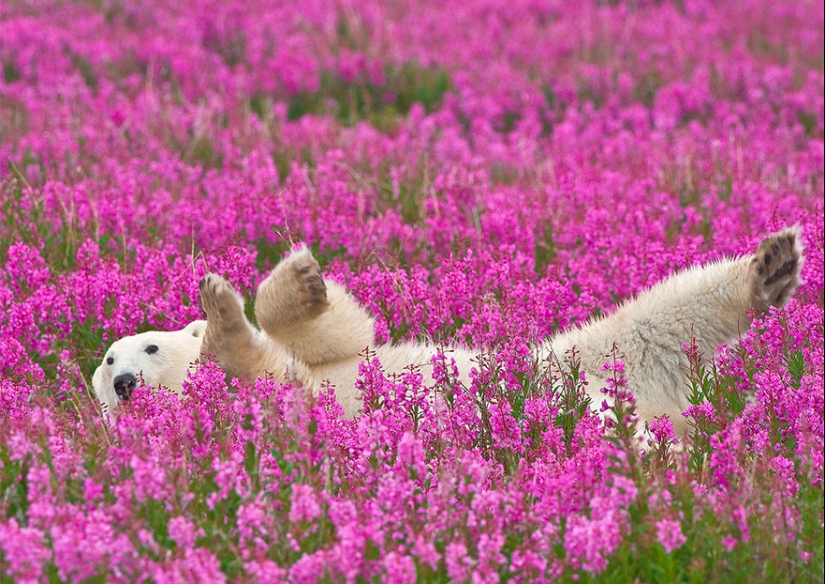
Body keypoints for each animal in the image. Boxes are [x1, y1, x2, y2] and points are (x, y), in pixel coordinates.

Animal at [92, 228, 804, 438]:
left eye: (145, 345)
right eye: (106, 362)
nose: (124, 382)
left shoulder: (325, 362)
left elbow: (343, 334)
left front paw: (285, 282)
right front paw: (222, 316)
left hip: (576, 358)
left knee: (661, 314)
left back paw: (771, 265)